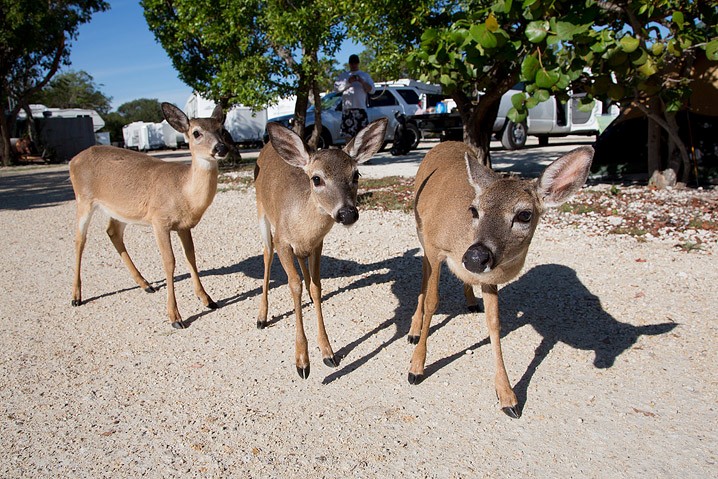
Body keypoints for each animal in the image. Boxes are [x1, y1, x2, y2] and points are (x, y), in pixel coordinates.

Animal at [69, 101, 229, 330]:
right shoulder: (159, 221)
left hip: (121, 211)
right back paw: (76, 297)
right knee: (79, 240)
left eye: (221, 129)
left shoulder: (183, 226)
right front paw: (175, 317)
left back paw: (146, 285)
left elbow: (191, 257)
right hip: (83, 199)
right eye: (196, 133)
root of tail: (73, 160)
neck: (183, 192)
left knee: (112, 232)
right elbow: (169, 262)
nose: (221, 148)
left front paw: (208, 299)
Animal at [255, 117, 388, 378]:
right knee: (266, 255)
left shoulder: (318, 244)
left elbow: (316, 287)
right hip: (261, 210)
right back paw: (261, 316)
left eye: (356, 174)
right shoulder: (282, 241)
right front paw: (302, 361)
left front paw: (328, 353)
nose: (347, 213)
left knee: (302, 265)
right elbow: (293, 285)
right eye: (316, 178)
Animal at [410, 141, 596, 418]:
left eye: (525, 215)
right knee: (423, 277)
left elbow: (494, 322)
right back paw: (414, 330)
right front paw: (416, 366)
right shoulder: (435, 247)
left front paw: (508, 396)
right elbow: (433, 301)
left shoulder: (490, 275)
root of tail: (446, 142)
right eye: (474, 210)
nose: (475, 256)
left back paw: (470, 300)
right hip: (421, 230)